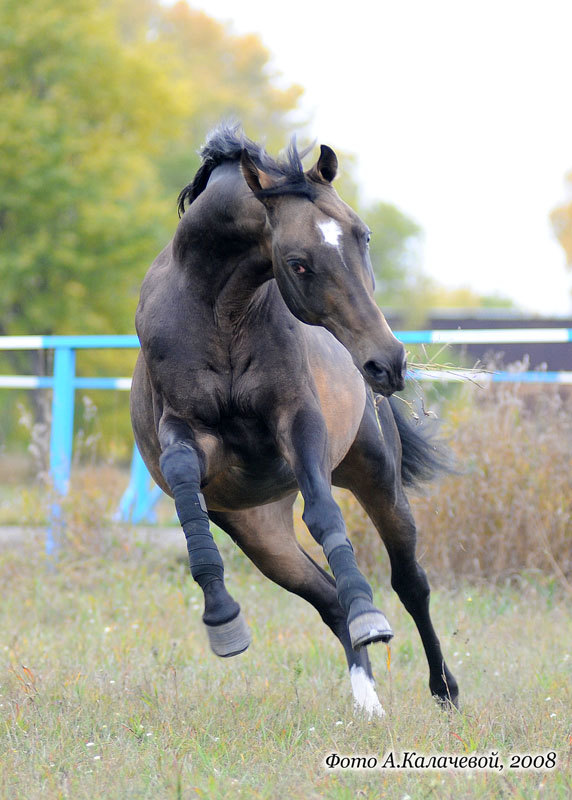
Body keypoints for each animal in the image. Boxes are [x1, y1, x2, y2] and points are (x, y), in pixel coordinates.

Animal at [132, 125, 458, 720]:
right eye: (299, 262)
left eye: (363, 235)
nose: (388, 363)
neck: (221, 314)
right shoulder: (185, 432)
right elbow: (186, 483)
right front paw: (222, 618)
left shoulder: (297, 421)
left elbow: (325, 512)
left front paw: (371, 617)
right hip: (264, 538)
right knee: (328, 601)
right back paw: (368, 702)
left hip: (377, 478)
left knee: (410, 583)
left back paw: (442, 687)